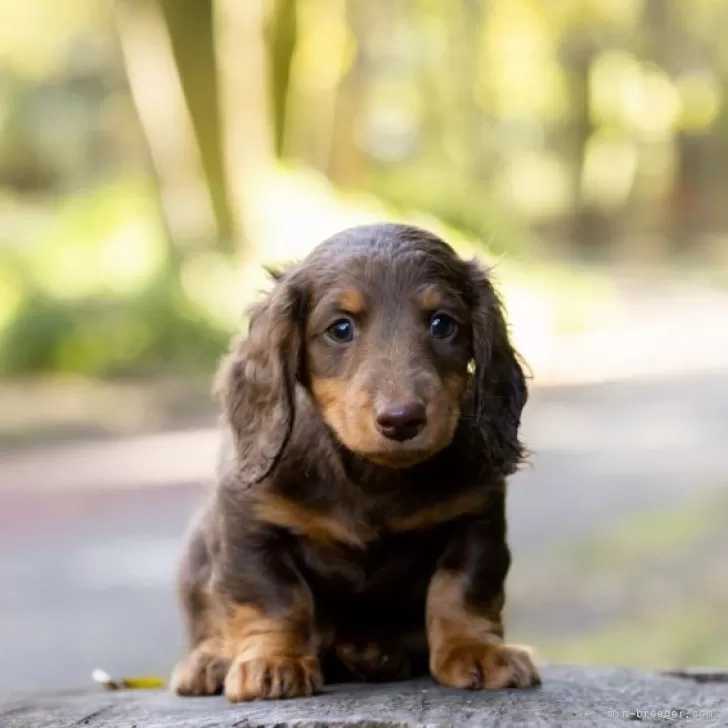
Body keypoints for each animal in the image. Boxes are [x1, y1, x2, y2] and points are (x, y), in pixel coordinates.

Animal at [171, 222, 540, 700]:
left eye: (442, 324)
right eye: (341, 328)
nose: (402, 419)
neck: (372, 476)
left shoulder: (477, 519)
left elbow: (461, 590)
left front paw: (476, 649)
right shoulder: (249, 523)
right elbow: (273, 598)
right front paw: (273, 661)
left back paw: (374, 654)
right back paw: (210, 660)